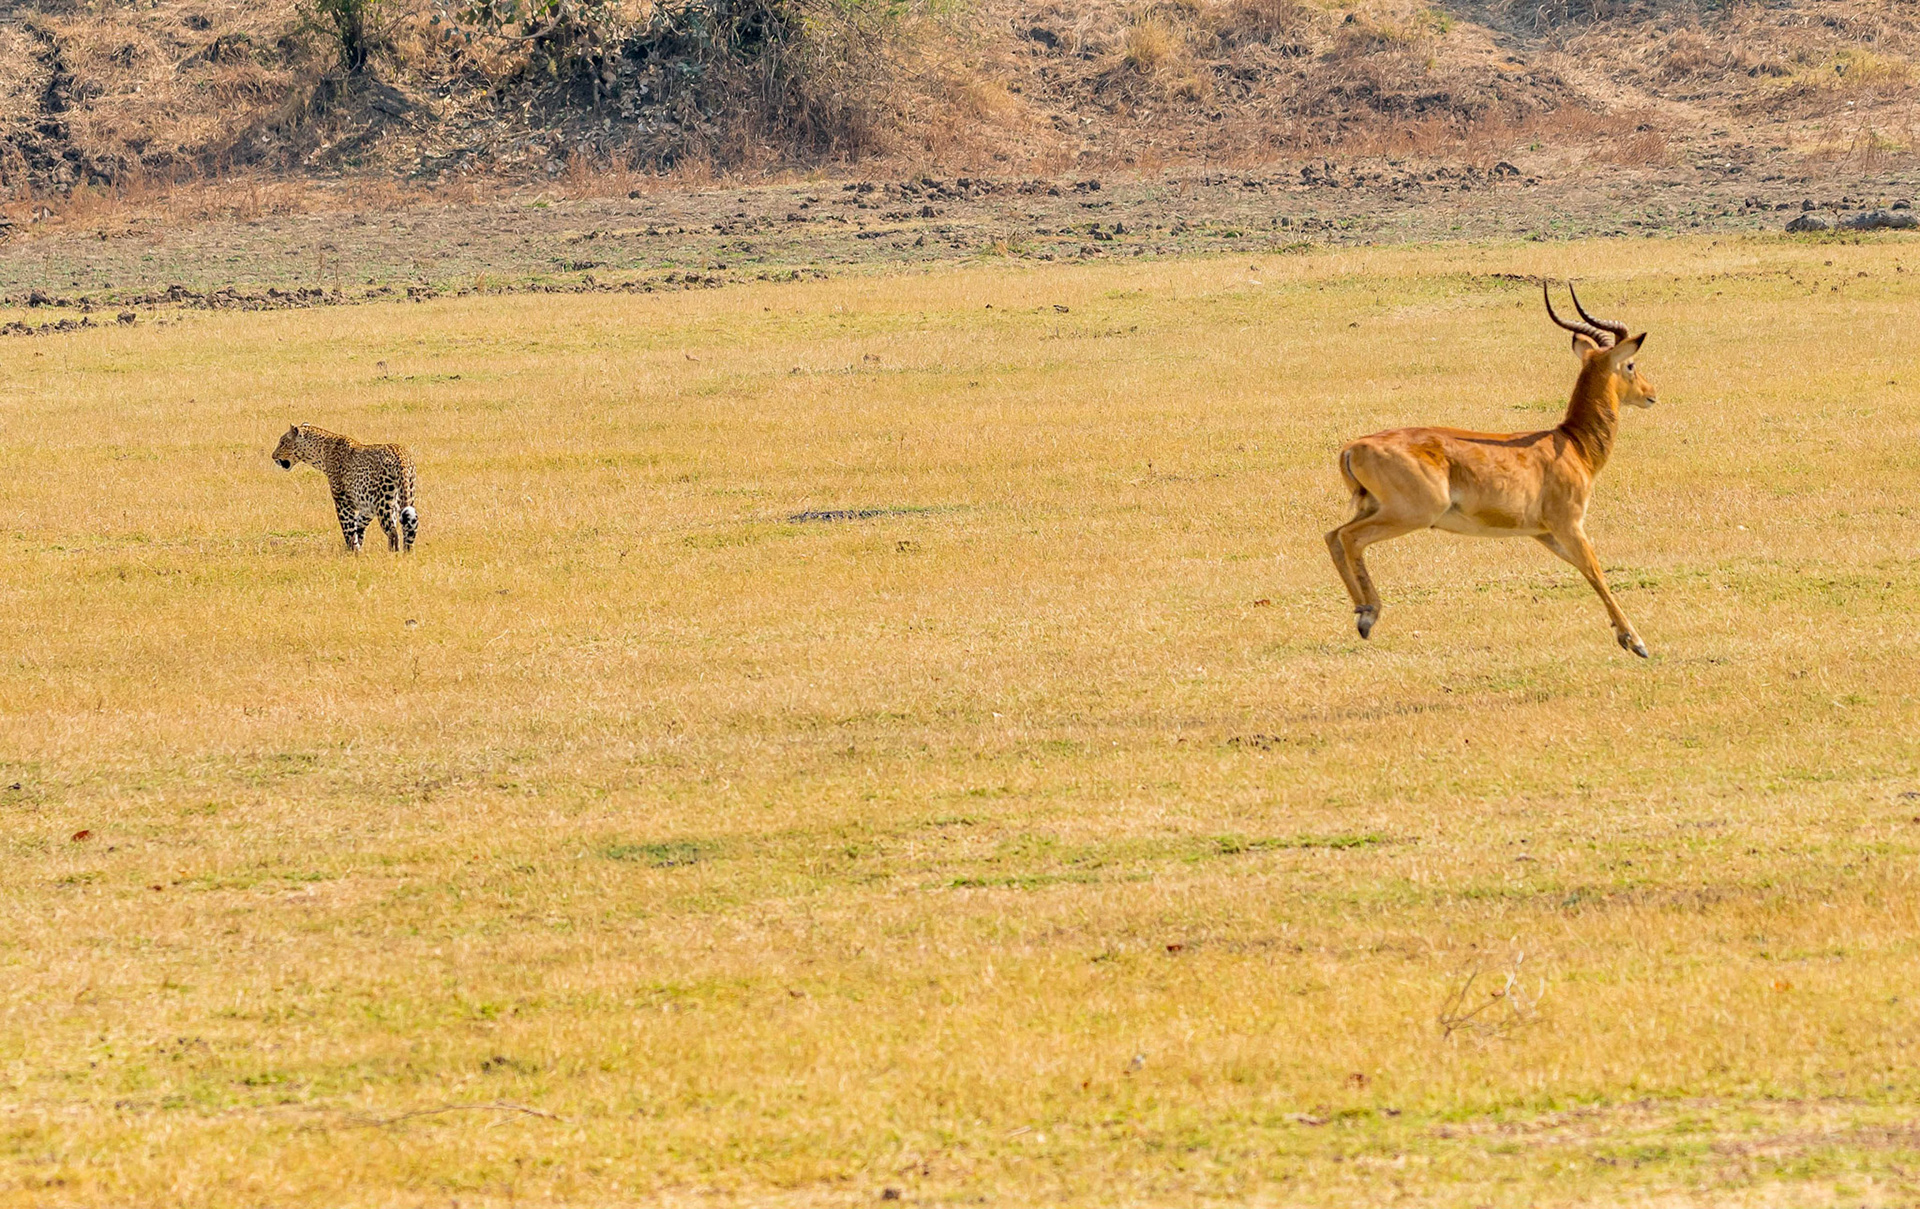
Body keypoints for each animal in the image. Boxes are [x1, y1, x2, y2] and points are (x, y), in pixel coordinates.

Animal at [272, 424, 418, 553]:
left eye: (283, 442)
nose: (273, 456)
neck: (321, 453)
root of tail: (401, 457)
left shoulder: (342, 502)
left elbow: (348, 529)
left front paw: (352, 552)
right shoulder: (367, 508)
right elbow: (358, 526)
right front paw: (357, 548)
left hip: (384, 503)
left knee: (393, 532)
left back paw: (393, 554)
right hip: (406, 497)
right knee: (409, 530)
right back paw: (406, 555)